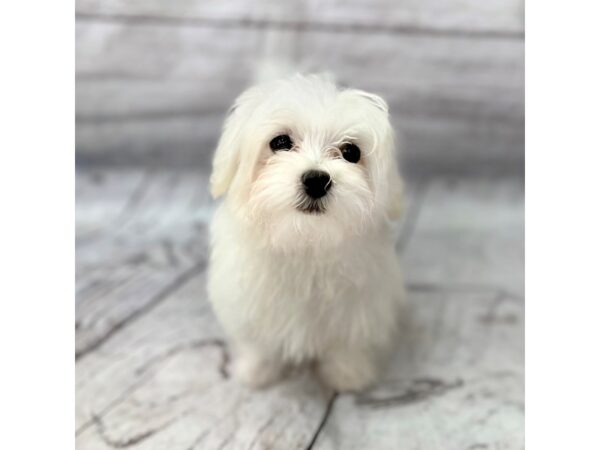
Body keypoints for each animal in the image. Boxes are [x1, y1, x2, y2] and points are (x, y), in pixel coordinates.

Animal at [205, 74, 404, 390]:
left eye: (351, 152)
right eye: (280, 142)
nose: (316, 179)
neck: (305, 241)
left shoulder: (358, 305)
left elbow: (347, 342)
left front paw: (348, 375)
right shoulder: (248, 301)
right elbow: (257, 342)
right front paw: (255, 372)